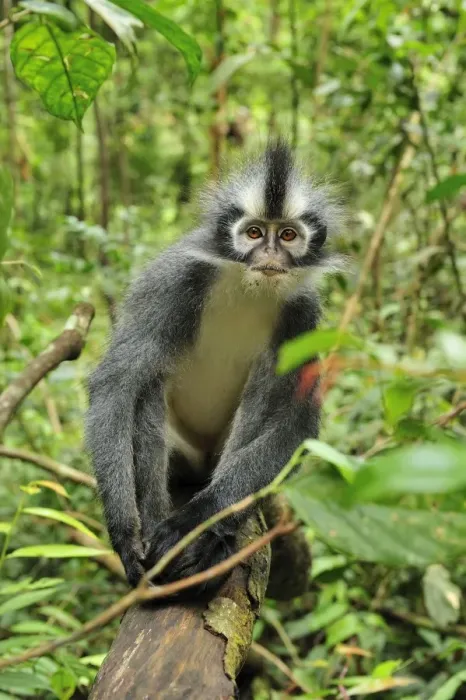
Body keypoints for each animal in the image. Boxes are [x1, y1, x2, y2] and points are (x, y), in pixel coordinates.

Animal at [85, 140, 344, 590]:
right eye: (254, 233)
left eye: (288, 235)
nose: (270, 255)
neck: (247, 285)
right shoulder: (175, 279)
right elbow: (116, 383)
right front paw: (125, 534)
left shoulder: (303, 314)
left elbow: (298, 424)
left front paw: (197, 518)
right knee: (149, 381)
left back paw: (214, 540)